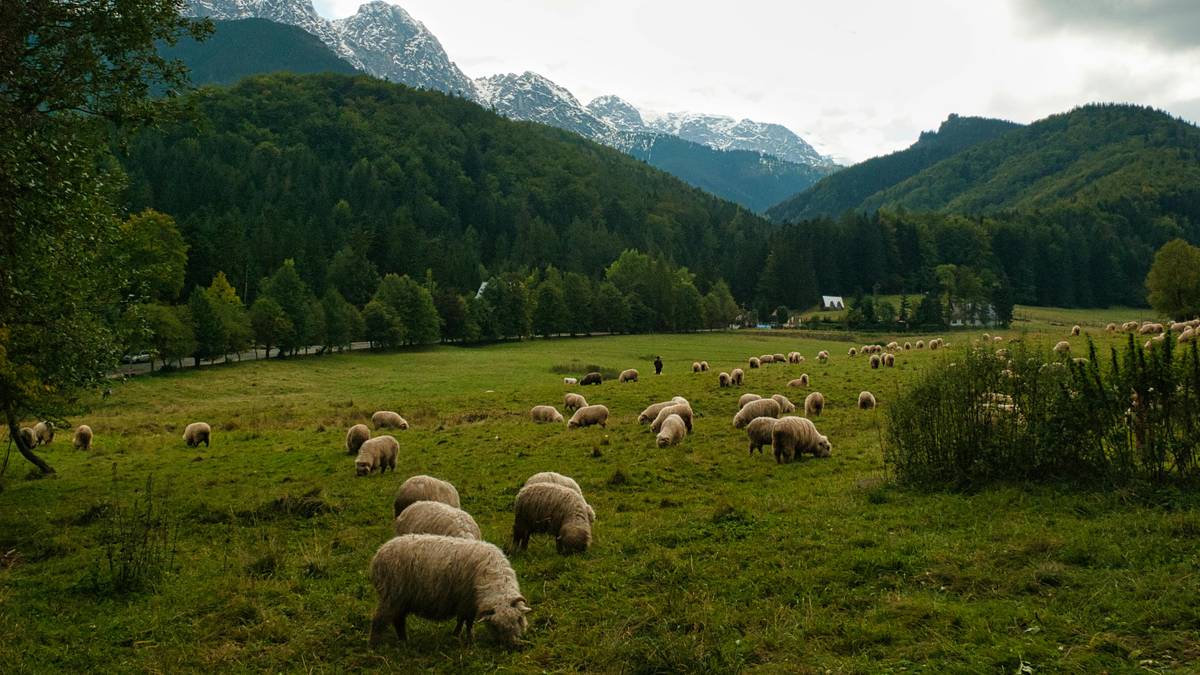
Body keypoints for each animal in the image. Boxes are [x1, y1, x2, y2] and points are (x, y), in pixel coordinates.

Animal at [364, 533, 530, 643]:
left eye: (518, 620)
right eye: (496, 626)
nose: (514, 646)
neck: (492, 575)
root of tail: (377, 556)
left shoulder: (467, 604)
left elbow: (462, 621)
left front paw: (458, 635)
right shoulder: (466, 602)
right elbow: (467, 622)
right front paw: (468, 639)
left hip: (401, 599)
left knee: (398, 620)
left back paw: (404, 641)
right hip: (391, 595)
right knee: (379, 620)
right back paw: (374, 645)